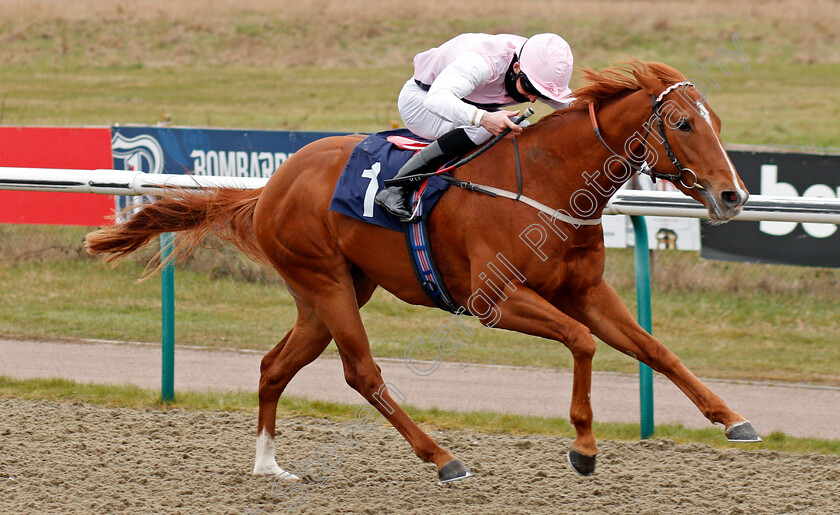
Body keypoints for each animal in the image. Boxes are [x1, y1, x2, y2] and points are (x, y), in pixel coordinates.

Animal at [87, 60, 760, 484]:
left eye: (717, 123)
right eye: (682, 124)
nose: (734, 196)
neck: (547, 185)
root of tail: (272, 185)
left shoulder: (586, 290)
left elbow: (655, 350)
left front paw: (733, 420)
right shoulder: (494, 301)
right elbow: (582, 342)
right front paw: (584, 448)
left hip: (326, 292)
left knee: (275, 366)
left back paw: (268, 465)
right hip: (326, 282)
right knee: (362, 373)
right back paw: (442, 459)